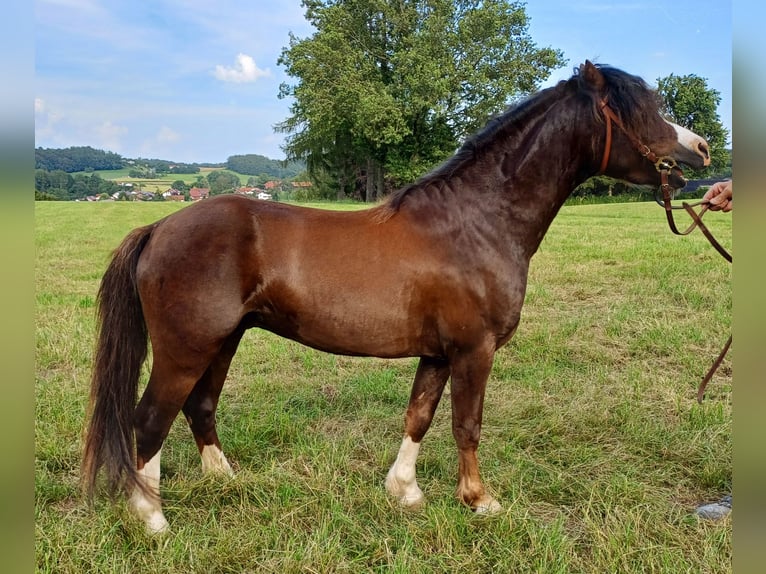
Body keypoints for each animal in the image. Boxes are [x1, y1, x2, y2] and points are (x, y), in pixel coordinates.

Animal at [81, 63, 712, 536]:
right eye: (641, 109)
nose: (702, 149)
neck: (478, 222)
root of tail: (159, 226)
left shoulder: (437, 352)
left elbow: (420, 415)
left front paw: (404, 492)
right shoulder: (474, 349)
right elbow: (466, 423)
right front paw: (479, 500)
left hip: (224, 340)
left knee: (200, 406)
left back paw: (225, 480)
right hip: (186, 348)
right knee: (148, 419)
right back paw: (152, 517)